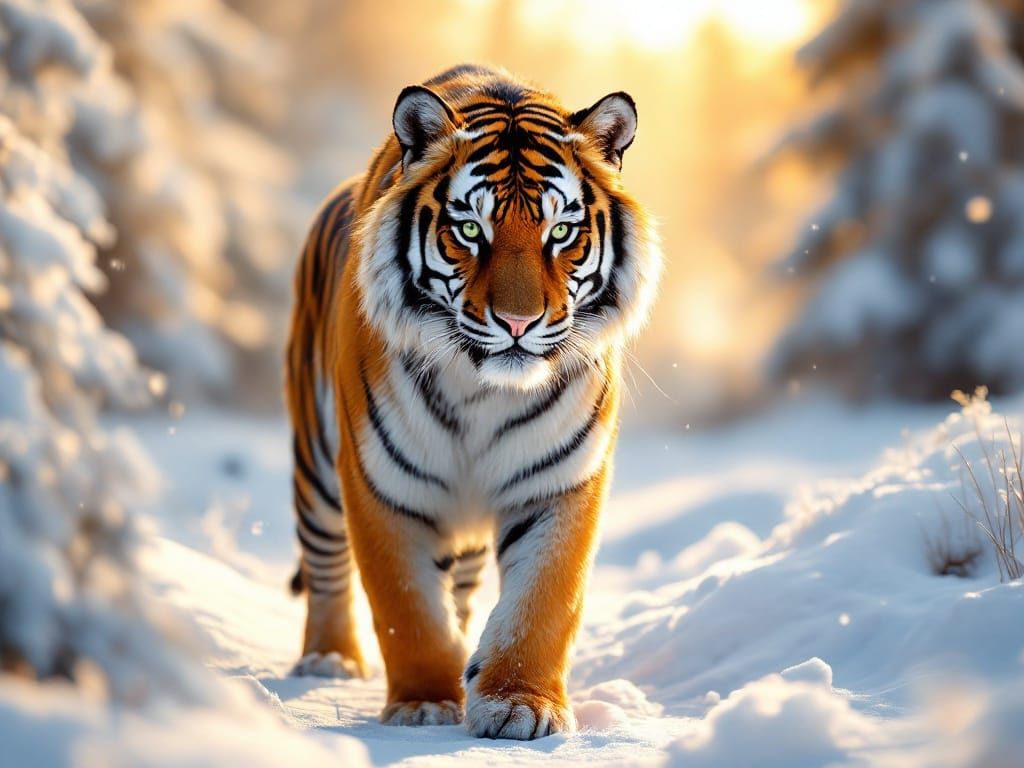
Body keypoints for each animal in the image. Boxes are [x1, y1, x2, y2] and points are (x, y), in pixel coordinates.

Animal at [285, 64, 660, 740]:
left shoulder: (559, 481)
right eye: (469, 230)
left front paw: (519, 703)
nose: (517, 322)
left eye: (560, 231)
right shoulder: (383, 484)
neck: (484, 392)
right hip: (317, 469)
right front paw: (423, 704)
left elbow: (543, 601)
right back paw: (329, 659)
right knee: (326, 565)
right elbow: (406, 608)